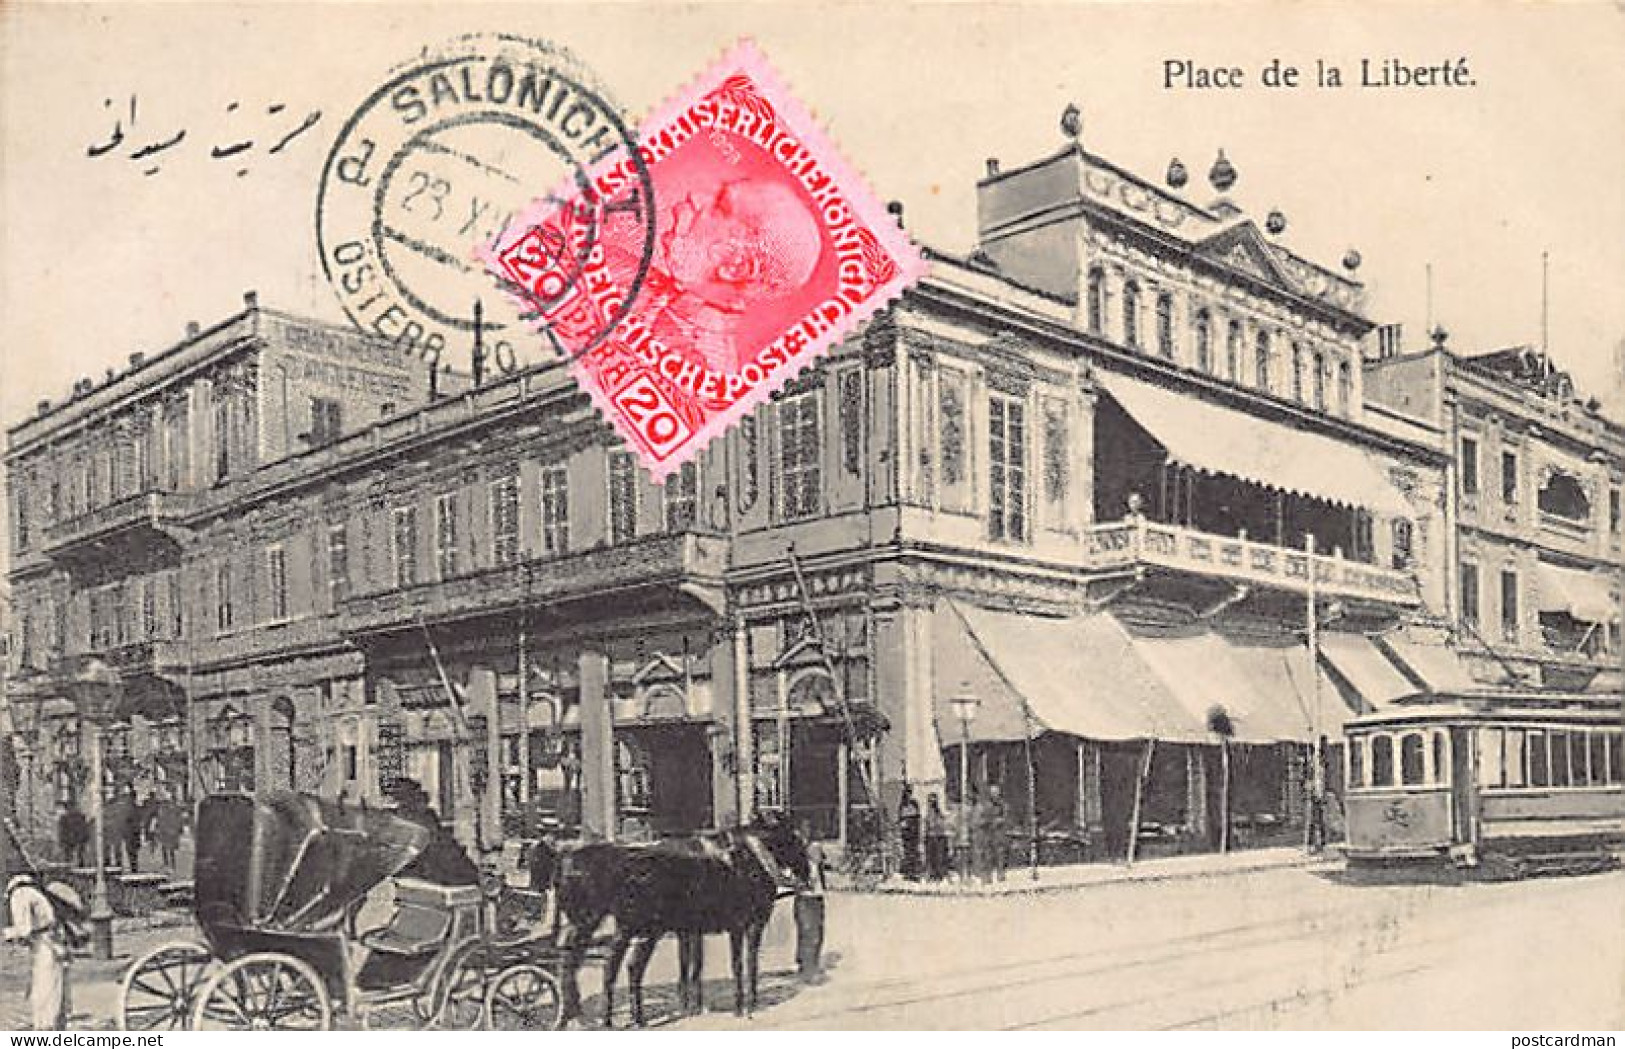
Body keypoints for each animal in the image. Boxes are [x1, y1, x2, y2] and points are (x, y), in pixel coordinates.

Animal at [555, 818, 809, 1032]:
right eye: (795, 840)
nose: (806, 875)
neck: (751, 862)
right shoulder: (743, 925)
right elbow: (740, 965)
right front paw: (744, 1006)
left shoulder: (700, 929)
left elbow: (699, 966)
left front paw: (698, 1005)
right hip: (630, 928)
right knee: (616, 965)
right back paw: (615, 1018)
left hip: (623, 928)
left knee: (605, 965)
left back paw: (605, 1018)